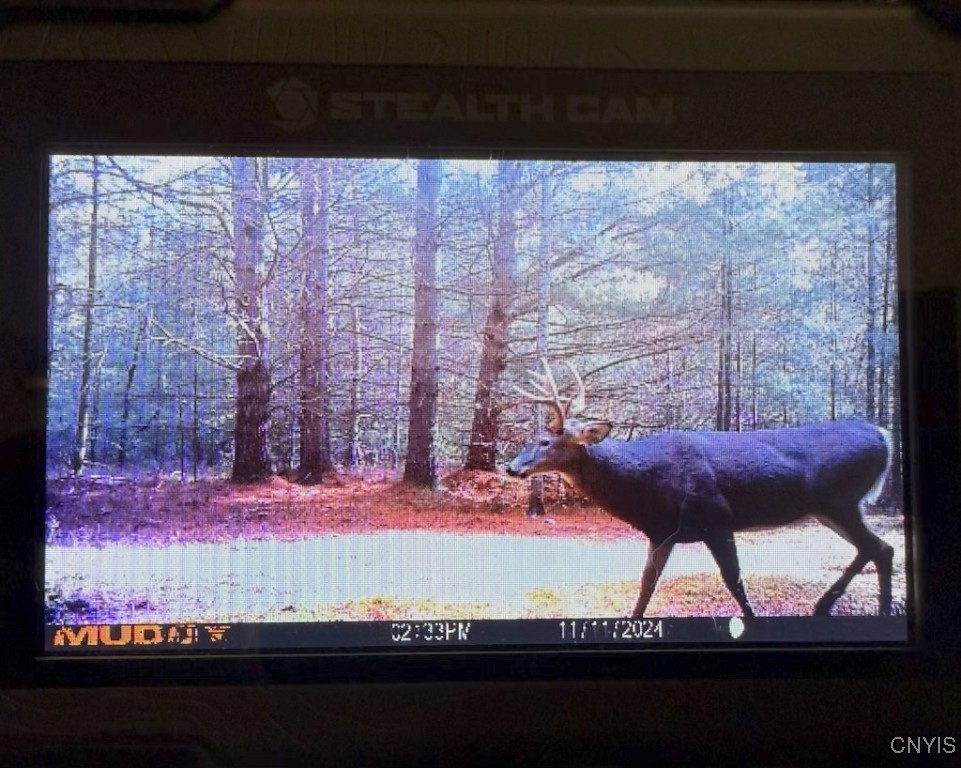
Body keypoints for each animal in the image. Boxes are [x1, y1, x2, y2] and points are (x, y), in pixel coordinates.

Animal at [506, 359, 895, 618]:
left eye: (544, 441)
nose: (511, 467)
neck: (646, 485)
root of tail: (884, 437)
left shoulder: (717, 517)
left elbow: (734, 580)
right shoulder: (662, 532)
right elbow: (647, 583)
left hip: (840, 501)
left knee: (881, 549)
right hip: (830, 508)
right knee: (877, 549)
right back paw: (832, 605)